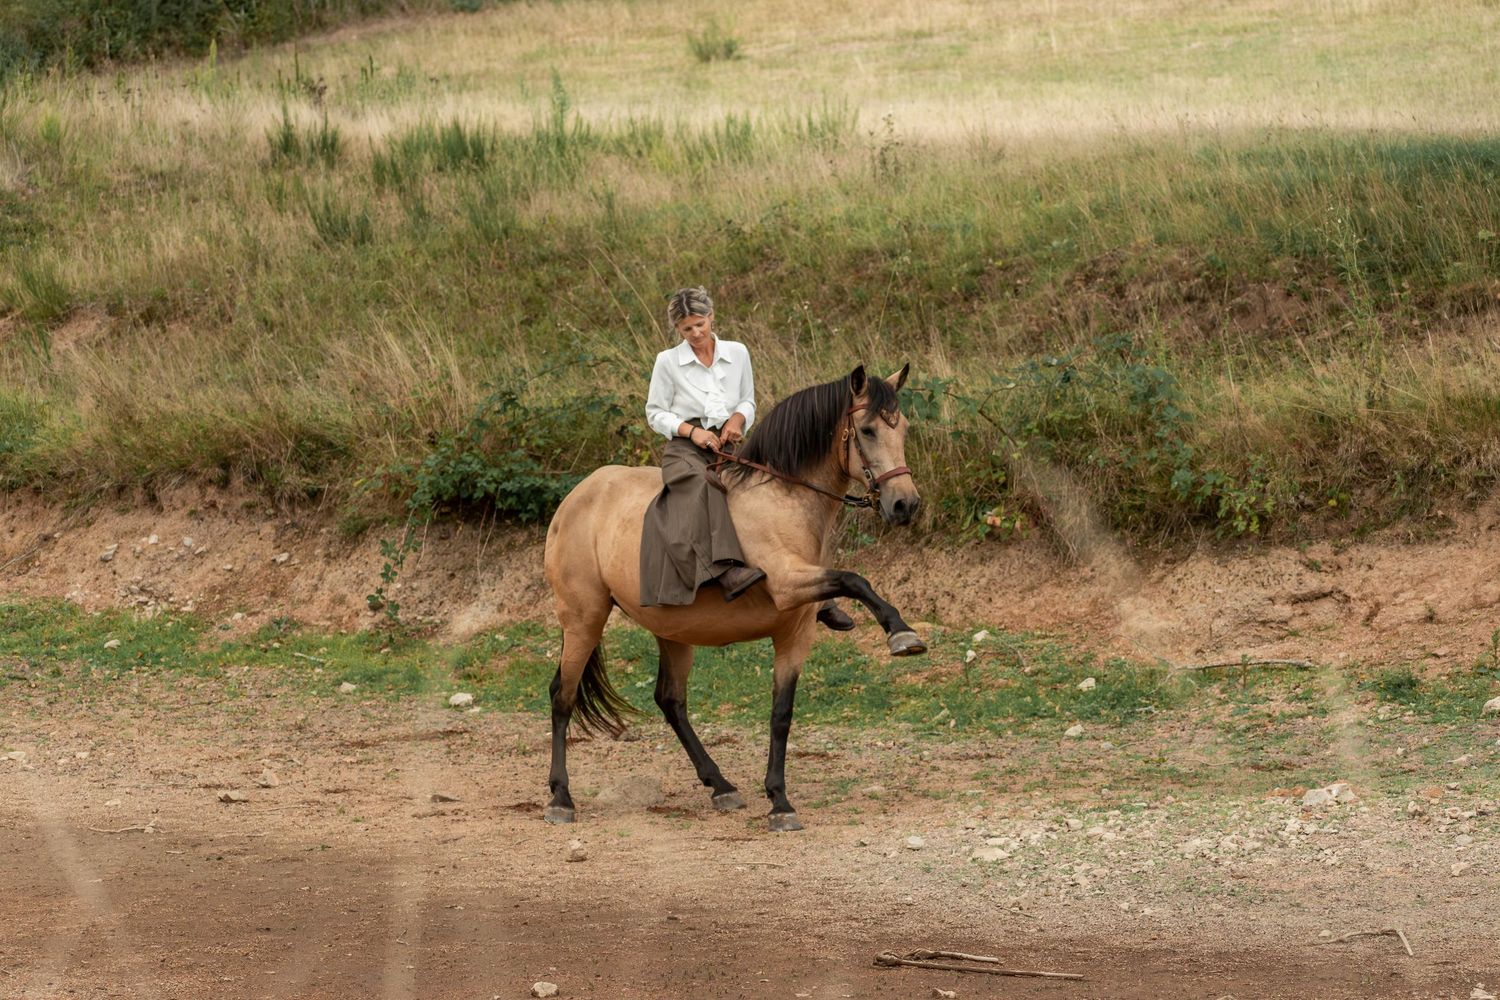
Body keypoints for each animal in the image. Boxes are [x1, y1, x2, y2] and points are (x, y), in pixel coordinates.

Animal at [541, 363, 926, 832]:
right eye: (867, 430)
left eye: (902, 429)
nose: (905, 505)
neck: (783, 498)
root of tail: (573, 500)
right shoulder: (786, 582)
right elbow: (855, 580)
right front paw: (901, 633)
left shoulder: (795, 631)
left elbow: (781, 714)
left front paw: (780, 801)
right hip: (585, 619)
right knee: (563, 696)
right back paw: (561, 798)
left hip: (673, 632)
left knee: (670, 701)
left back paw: (720, 785)